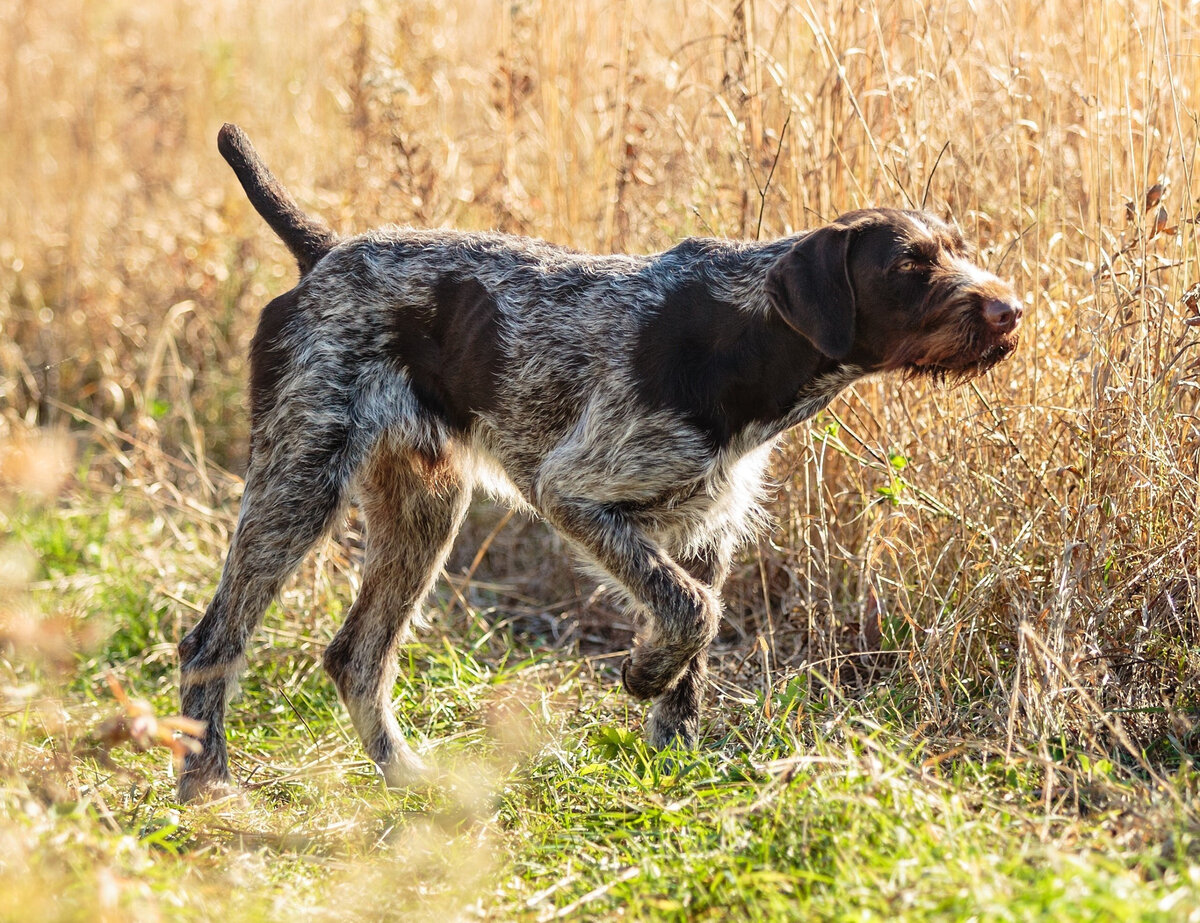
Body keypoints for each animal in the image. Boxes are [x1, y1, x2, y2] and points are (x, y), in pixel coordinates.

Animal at [175, 122, 1022, 796]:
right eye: (907, 267)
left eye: (958, 250)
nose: (1013, 309)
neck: (746, 339)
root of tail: (322, 255)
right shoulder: (575, 493)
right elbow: (692, 610)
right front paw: (644, 672)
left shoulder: (705, 528)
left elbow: (694, 644)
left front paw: (672, 753)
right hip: (300, 479)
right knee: (212, 641)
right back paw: (207, 782)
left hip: (422, 507)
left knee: (356, 655)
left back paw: (405, 776)